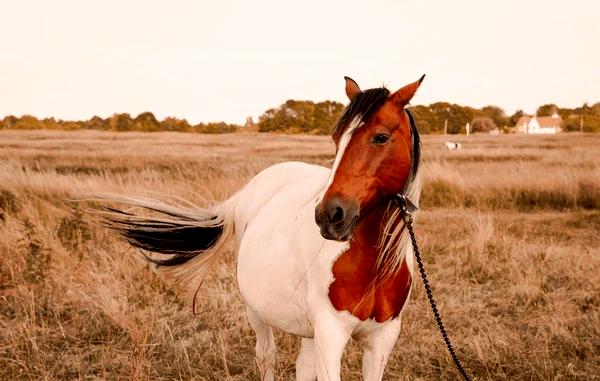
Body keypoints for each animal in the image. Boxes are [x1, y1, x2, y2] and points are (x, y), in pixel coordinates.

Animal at [97, 75, 422, 380]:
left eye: (381, 137)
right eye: (336, 138)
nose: (329, 215)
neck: (372, 265)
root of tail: (250, 190)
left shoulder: (381, 340)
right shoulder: (331, 336)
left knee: (303, 366)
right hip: (257, 311)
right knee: (266, 357)